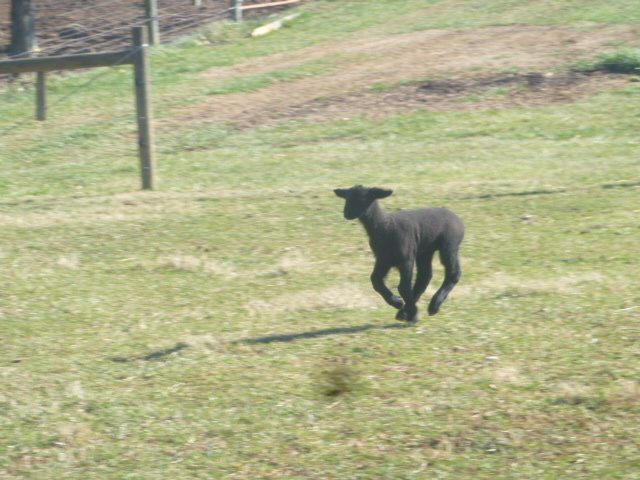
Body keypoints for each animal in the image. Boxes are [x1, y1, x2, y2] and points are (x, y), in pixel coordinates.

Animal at [334, 185, 464, 322]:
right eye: (347, 197)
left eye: (364, 198)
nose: (347, 213)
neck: (385, 226)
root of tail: (456, 218)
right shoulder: (383, 260)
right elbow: (376, 281)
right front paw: (398, 303)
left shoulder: (405, 259)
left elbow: (403, 287)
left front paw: (413, 313)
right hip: (425, 251)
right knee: (424, 276)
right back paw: (405, 311)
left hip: (449, 245)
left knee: (453, 273)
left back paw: (433, 306)